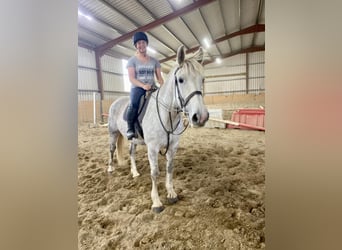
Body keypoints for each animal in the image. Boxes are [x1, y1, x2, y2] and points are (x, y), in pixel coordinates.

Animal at [107, 45, 208, 213]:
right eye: (180, 80)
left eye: (202, 79)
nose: (200, 117)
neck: (166, 114)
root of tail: (116, 101)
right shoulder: (152, 148)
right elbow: (154, 173)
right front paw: (156, 202)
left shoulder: (173, 146)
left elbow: (170, 168)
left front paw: (171, 193)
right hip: (113, 133)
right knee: (111, 149)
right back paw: (110, 169)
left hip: (133, 140)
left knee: (131, 153)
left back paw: (135, 172)